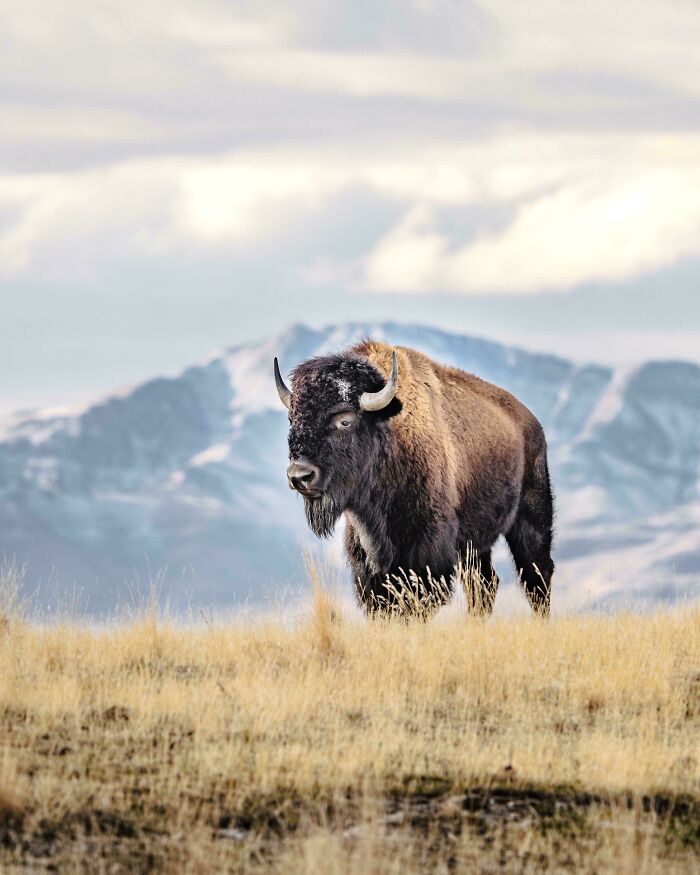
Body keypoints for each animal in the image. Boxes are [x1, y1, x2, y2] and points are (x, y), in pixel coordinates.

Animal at [274, 341, 554, 616]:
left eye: (345, 420)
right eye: (291, 419)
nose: (299, 476)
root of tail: (531, 423)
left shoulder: (427, 550)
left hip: (531, 519)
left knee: (536, 576)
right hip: (474, 544)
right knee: (484, 584)